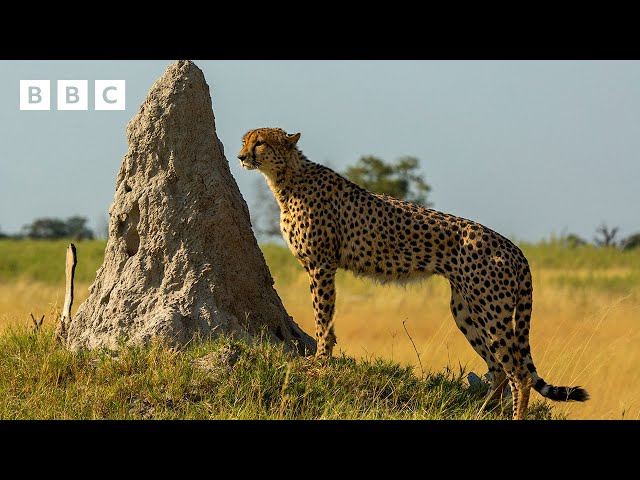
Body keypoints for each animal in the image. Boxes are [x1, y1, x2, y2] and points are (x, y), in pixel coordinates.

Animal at [239, 125, 592, 418]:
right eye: (245, 140)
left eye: (260, 142)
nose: (241, 156)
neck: (287, 179)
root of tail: (514, 247)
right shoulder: (321, 265)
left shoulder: (322, 265)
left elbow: (323, 315)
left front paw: (320, 359)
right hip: (466, 309)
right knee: (499, 369)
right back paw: (479, 413)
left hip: (492, 310)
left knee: (519, 373)